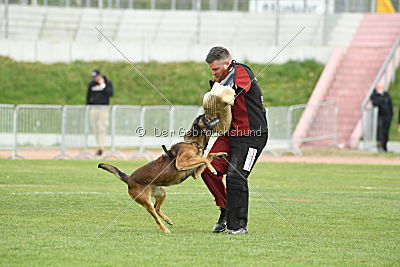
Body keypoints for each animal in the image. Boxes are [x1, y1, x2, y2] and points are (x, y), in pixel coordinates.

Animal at [98, 116, 227, 233]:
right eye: (204, 118)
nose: (217, 116)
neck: (193, 143)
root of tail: (129, 178)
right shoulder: (181, 163)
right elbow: (204, 159)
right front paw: (213, 169)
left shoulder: (195, 173)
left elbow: (208, 156)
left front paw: (220, 154)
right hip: (146, 202)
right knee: (155, 216)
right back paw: (165, 230)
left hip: (161, 192)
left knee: (157, 208)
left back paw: (168, 220)